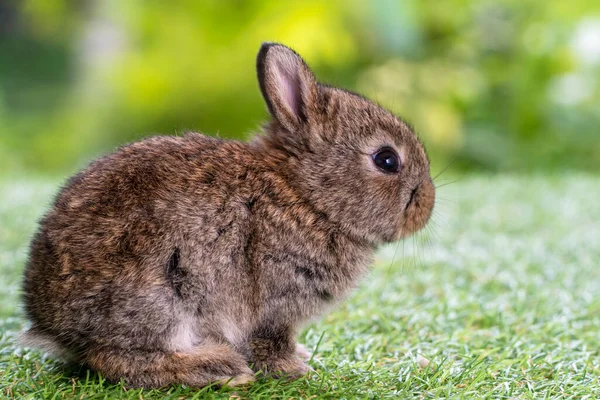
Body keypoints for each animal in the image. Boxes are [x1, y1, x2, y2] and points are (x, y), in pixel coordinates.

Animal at [21, 43, 434, 388]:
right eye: (386, 159)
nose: (427, 206)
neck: (306, 196)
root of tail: (51, 326)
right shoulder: (274, 306)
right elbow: (270, 341)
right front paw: (295, 369)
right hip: (161, 299)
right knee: (114, 360)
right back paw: (215, 367)